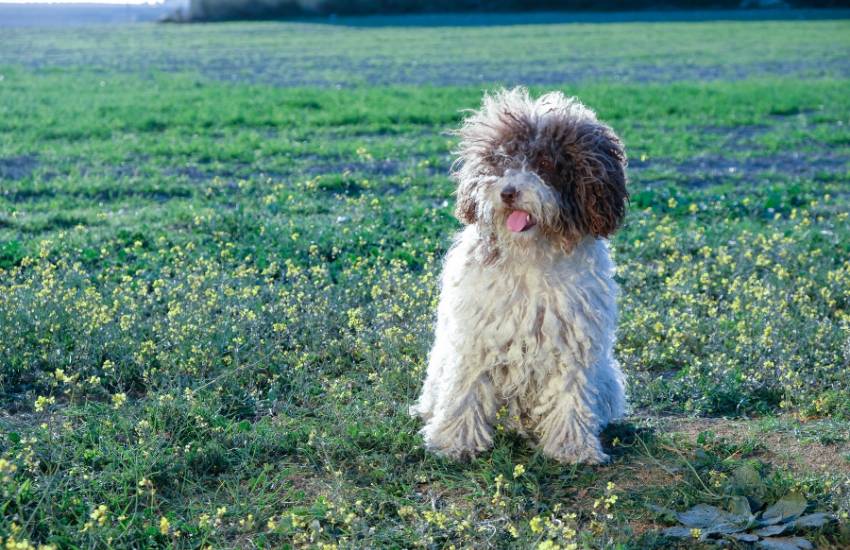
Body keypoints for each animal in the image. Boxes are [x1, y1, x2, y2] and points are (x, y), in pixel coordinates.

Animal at [408, 86, 628, 466]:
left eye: (545, 164)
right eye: (501, 160)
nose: (508, 192)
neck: (530, 255)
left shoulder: (573, 338)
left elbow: (570, 393)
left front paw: (572, 447)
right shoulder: (475, 336)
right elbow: (465, 389)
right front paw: (455, 443)